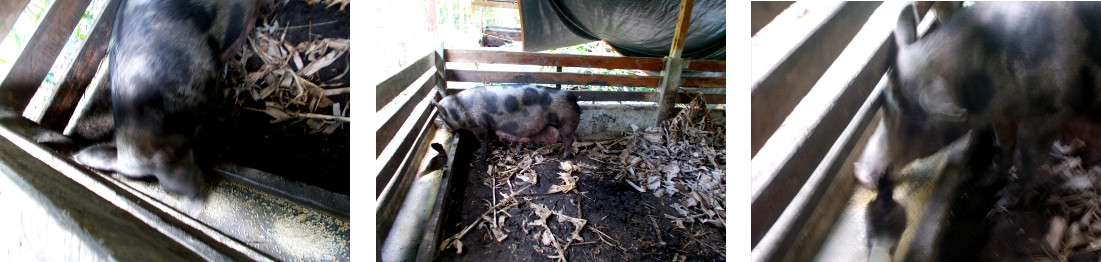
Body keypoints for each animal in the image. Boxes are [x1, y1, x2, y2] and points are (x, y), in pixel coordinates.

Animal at [431, 84, 585, 159]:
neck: (459, 108)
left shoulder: (479, 125)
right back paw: (559, 152)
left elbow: (483, 140)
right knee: (564, 140)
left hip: (566, 122)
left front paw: (478, 155)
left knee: (569, 139)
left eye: (442, 117)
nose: (443, 127)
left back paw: (563, 158)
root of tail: (572, 97)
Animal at [854, 1, 1101, 206]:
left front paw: (1002, 202)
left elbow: (1028, 159)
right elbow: (1003, 145)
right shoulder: (1002, 114)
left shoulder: (1051, 114)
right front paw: (982, 181)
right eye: (884, 102)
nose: (859, 171)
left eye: (914, 115)